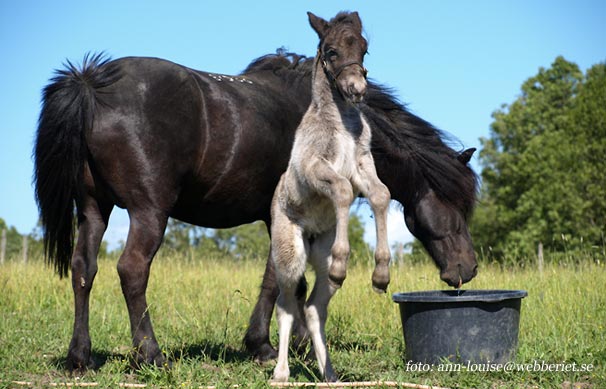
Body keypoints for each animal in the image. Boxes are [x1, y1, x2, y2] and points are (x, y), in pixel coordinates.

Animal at [34, 50, 480, 368]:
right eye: (458, 205)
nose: (469, 268)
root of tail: (92, 83)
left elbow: (292, 280)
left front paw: (294, 341)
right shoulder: (284, 214)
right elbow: (278, 277)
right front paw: (267, 346)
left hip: (94, 208)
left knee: (83, 269)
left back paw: (79, 357)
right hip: (148, 212)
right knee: (132, 270)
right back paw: (151, 354)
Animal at [272, 10, 394, 380]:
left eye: (364, 49)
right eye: (330, 51)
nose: (357, 90)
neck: (342, 123)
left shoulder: (362, 165)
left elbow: (381, 195)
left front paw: (381, 275)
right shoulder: (314, 167)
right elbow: (341, 190)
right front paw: (344, 261)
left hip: (320, 260)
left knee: (313, 308)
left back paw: (330, 375)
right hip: (290, 256)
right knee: (286, 305)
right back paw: (280, 374)